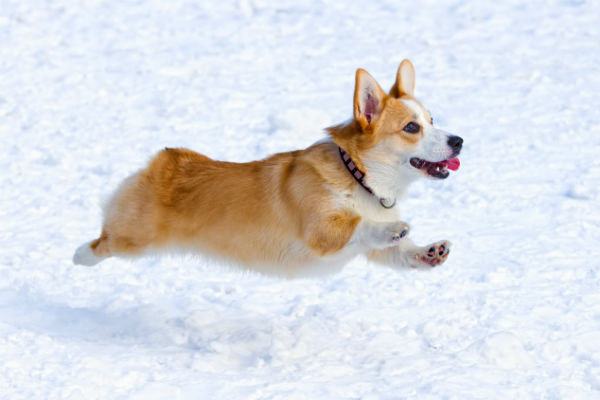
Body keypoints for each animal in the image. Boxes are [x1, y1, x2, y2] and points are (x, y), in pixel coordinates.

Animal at [72, 60, 462, 278]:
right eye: (411, 128)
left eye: (432, 120)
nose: (459, 141)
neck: (360, 176)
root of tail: (164, 163)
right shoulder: (321, 230)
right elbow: (361, 226)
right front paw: (393, 227)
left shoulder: (375, 250)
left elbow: (399, 253)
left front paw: (430, 252)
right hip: (134, 238)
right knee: (102, 242)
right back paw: (79, 257)